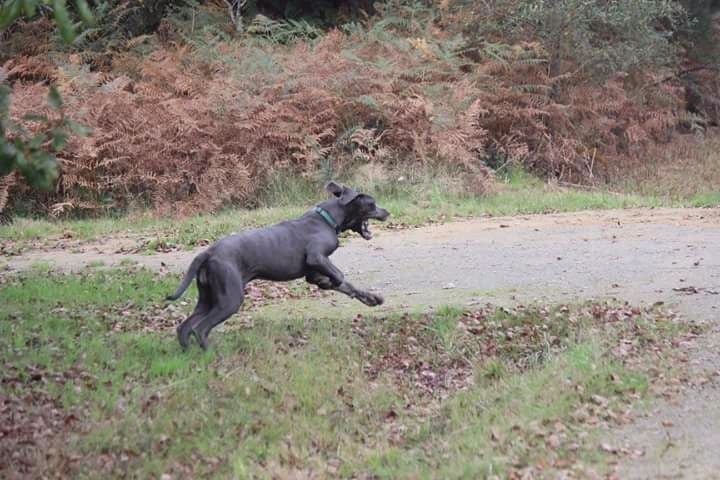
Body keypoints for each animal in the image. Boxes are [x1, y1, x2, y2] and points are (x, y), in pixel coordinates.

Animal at [167, 182, 390, 350]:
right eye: (372, 203)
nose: (387, 212)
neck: (328, 219)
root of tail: (208, 253)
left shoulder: (314, 271)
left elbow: (346, 284)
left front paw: (371, 298)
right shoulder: (316, 257)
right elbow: (340, 276)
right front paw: (337, 283)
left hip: (208, 297)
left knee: (184, 328)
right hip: (229, 299)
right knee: (200, 329)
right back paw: (211, 354)